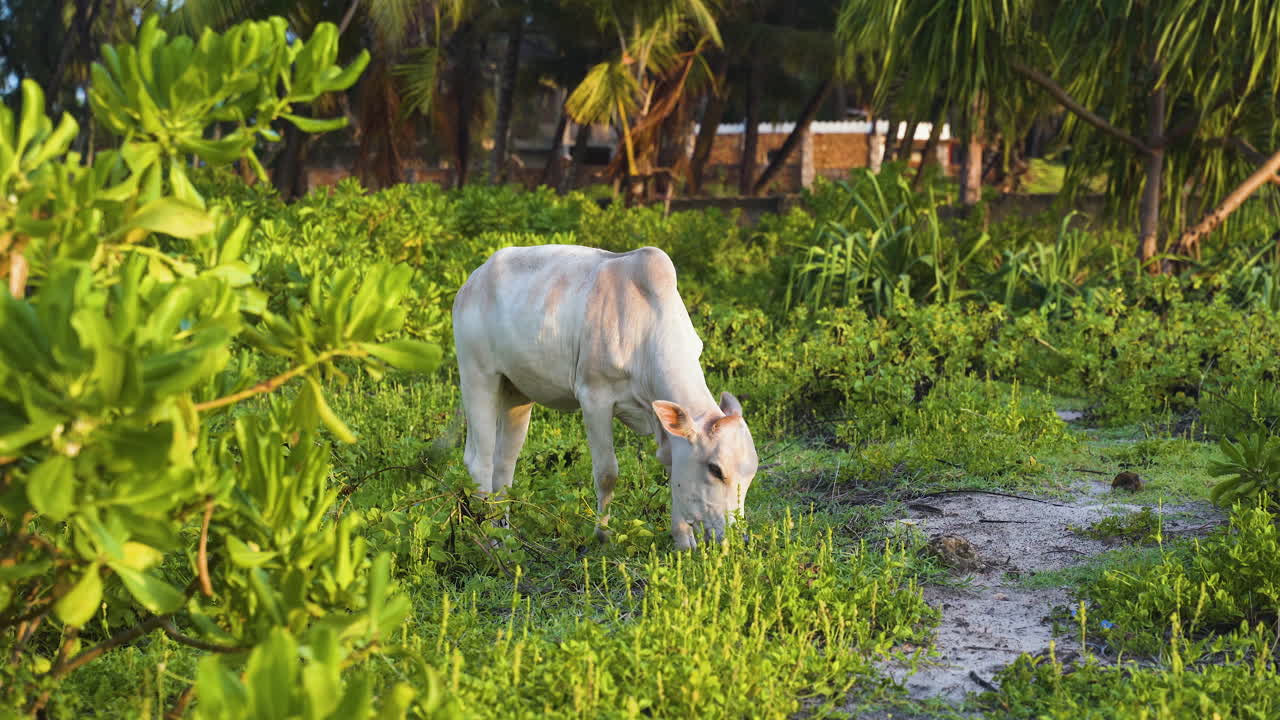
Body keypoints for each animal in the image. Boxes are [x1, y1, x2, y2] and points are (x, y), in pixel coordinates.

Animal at [452, 245, 758, 550]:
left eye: (751, 473)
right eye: (715, 470)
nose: (740, 538)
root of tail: (473, 281)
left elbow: (673, 470)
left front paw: (683, 540)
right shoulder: (594, 397)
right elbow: (607, 473)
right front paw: (603, 534)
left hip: (517, 391)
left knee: (504, 464)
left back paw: (505, 532)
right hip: (477, 375)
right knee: (480, 462)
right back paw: (488, 539)